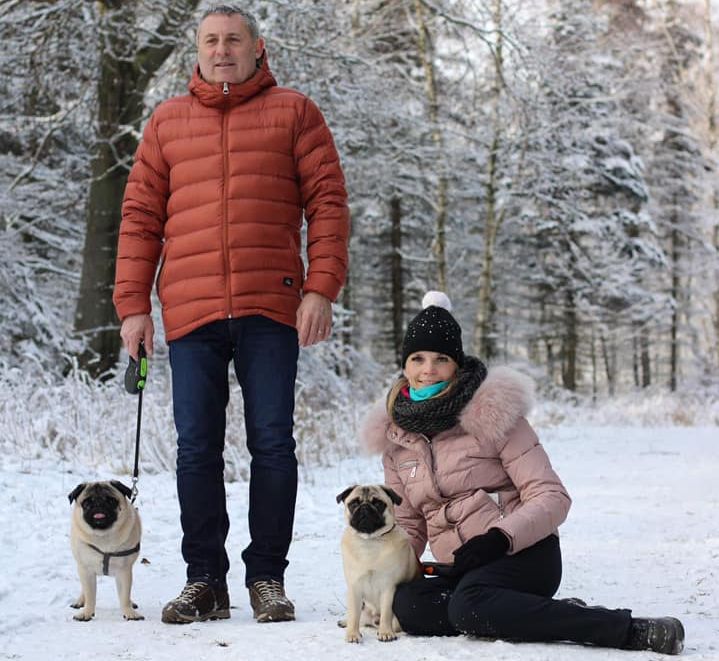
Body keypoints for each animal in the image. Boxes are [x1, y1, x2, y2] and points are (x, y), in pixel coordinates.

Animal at [68, 481, 143, 621]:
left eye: (111, 501)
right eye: (87, 502)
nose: (98, 504)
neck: (103, 536)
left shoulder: (124, 571)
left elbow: (125, 596)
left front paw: (129, 612)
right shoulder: (86, 570)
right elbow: (90, 595)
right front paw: (87, 612)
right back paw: (80, 601)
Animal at [336, 484, 421, 643]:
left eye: (378, 503)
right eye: (354, 503)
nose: (364, 507)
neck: (370, 541)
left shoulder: (388, 587)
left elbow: (387, 613)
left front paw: (385, 633)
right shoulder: (354, 587)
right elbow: (354, 614)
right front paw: (352, 634)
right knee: (360, 617)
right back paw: (346, 622)